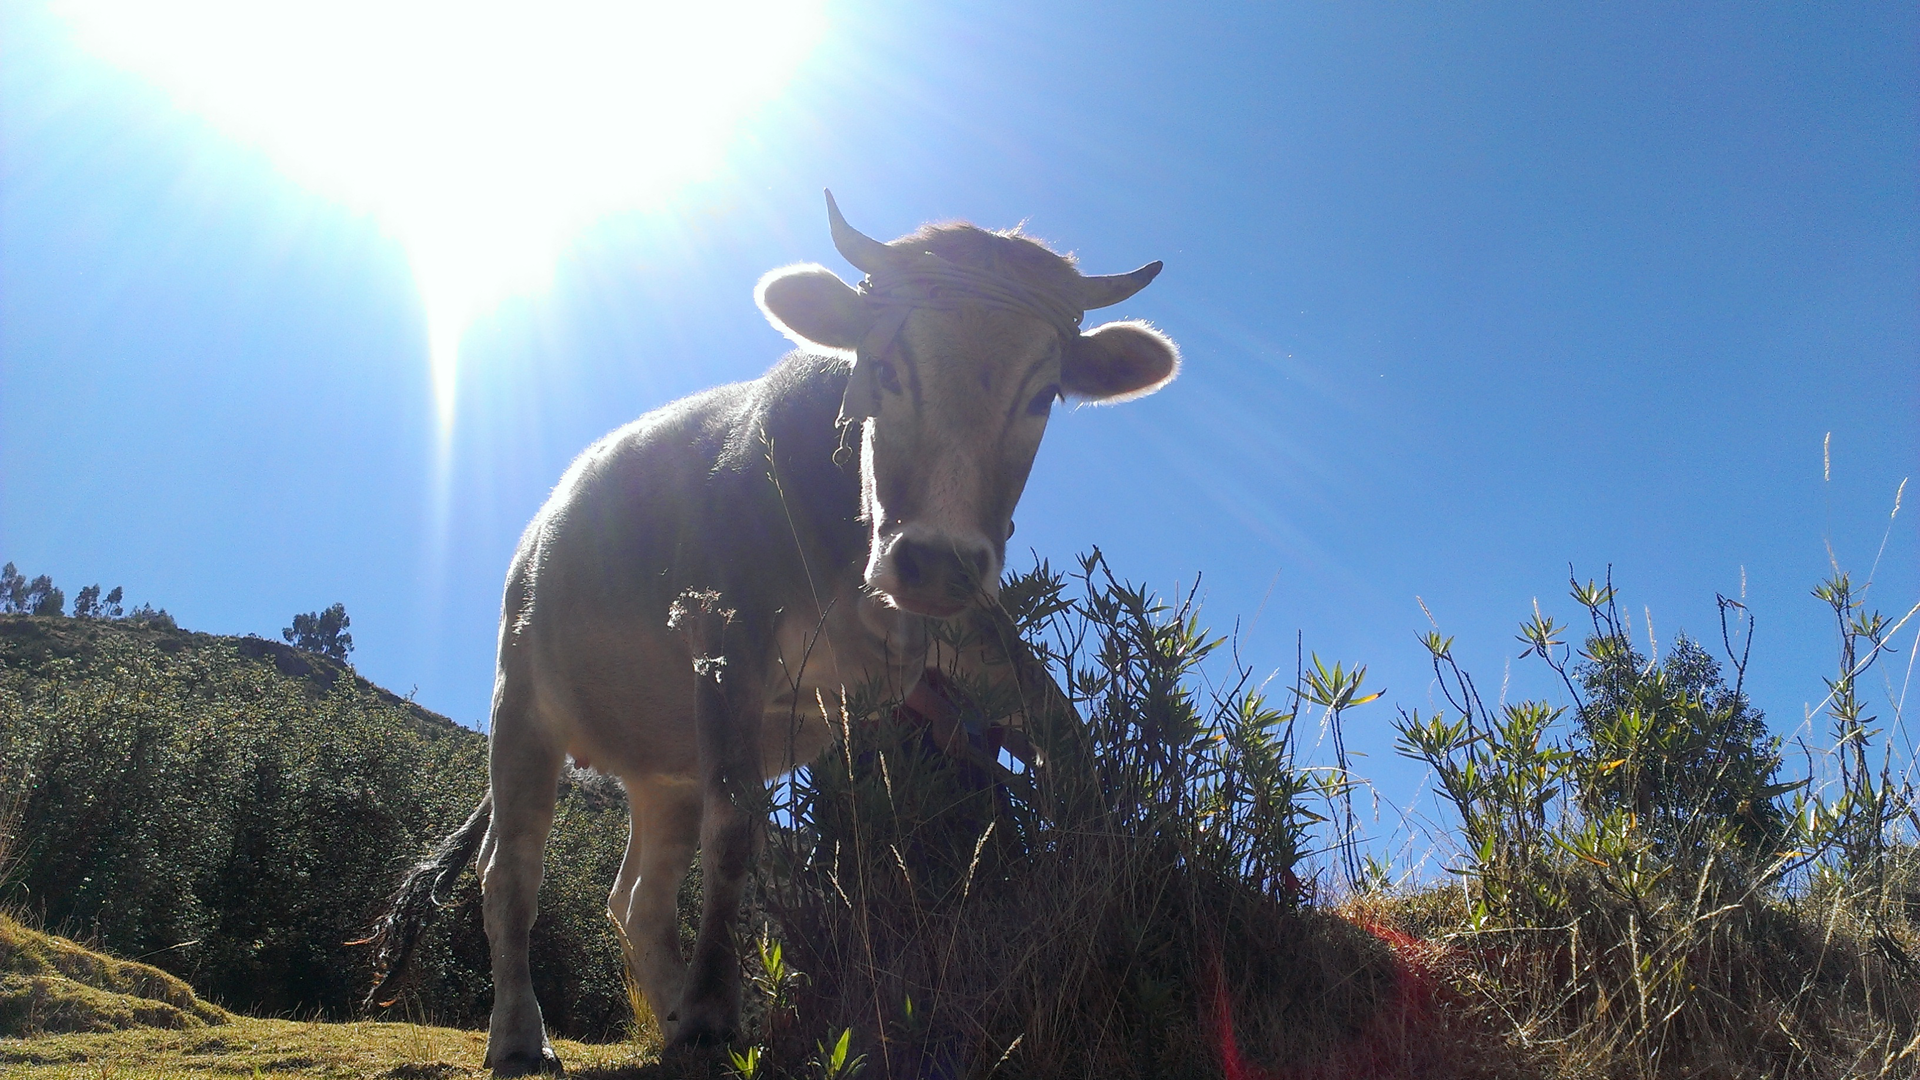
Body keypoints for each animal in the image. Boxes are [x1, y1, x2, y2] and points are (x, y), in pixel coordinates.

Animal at [364, 191, 1175, 1068]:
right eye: (886, 368)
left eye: (1042, 394)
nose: (933, 562)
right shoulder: (725, 635)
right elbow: (736, 829)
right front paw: (713, 1011)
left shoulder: (970, 639)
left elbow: (1071, 748)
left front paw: (1111, 900)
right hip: (522, 703)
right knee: (511, 871)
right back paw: (524, 1032)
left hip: (664, 767)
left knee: (637, 898)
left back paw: (672, 1014)